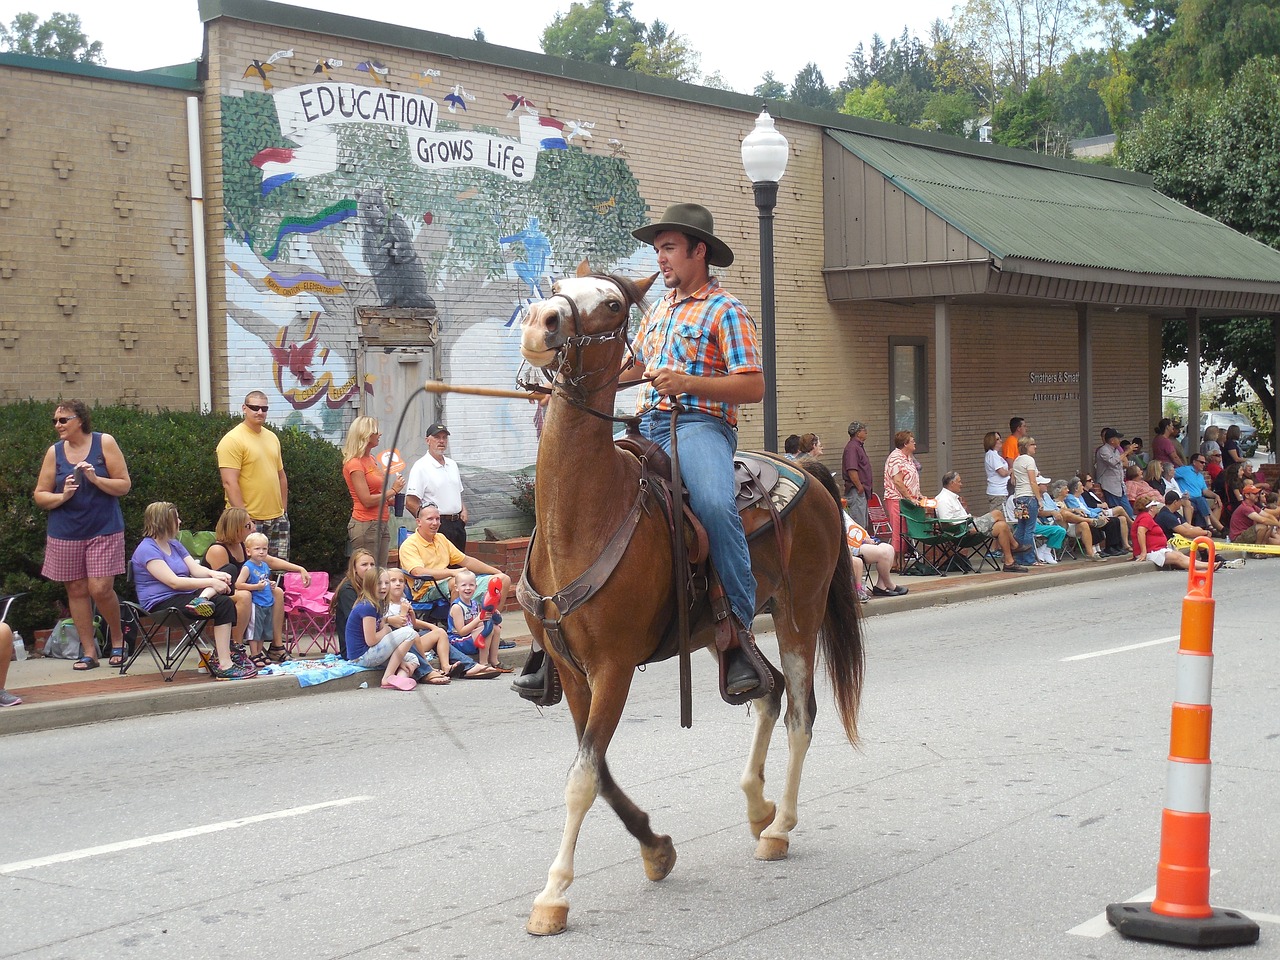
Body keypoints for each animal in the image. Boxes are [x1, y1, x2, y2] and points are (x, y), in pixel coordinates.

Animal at [514, 271, 865, 942]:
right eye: (559, 284)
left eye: (613, 304)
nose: (541, 323)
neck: (585, 514)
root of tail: (804, 467)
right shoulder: (572, 672)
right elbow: (598, 771)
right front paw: (657, 848)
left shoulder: (614, 668)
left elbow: (582, 779)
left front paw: (552, 894)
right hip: (723, 630)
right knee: (766, 690)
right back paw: (759, 806)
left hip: (798, 613)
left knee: (799, 711)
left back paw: (780, 827)